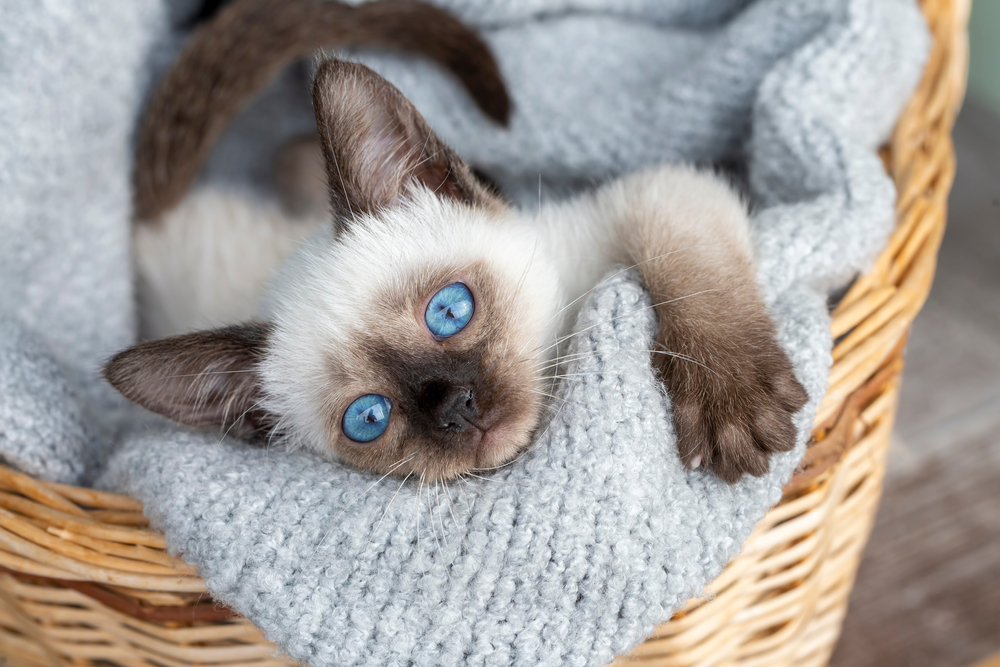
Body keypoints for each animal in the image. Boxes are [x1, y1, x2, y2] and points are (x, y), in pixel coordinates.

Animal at [107, 3, 804, 486]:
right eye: (368, 418)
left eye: (449, 311)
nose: (456, 409)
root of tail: (155, 225)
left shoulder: (648, 196)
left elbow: (692, 275)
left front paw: (732, 411)